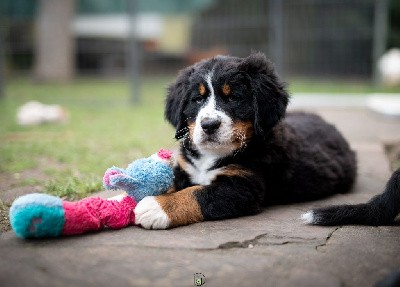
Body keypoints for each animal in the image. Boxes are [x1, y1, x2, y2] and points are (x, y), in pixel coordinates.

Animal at [135, 53, 400, 231]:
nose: (209, 125)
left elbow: (197, 194)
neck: (212, 155)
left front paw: (156, 207)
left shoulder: (243, 187)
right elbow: (173, 184)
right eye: (197, 100)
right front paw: (130, 196)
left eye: (233, 98)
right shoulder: (185, 169)